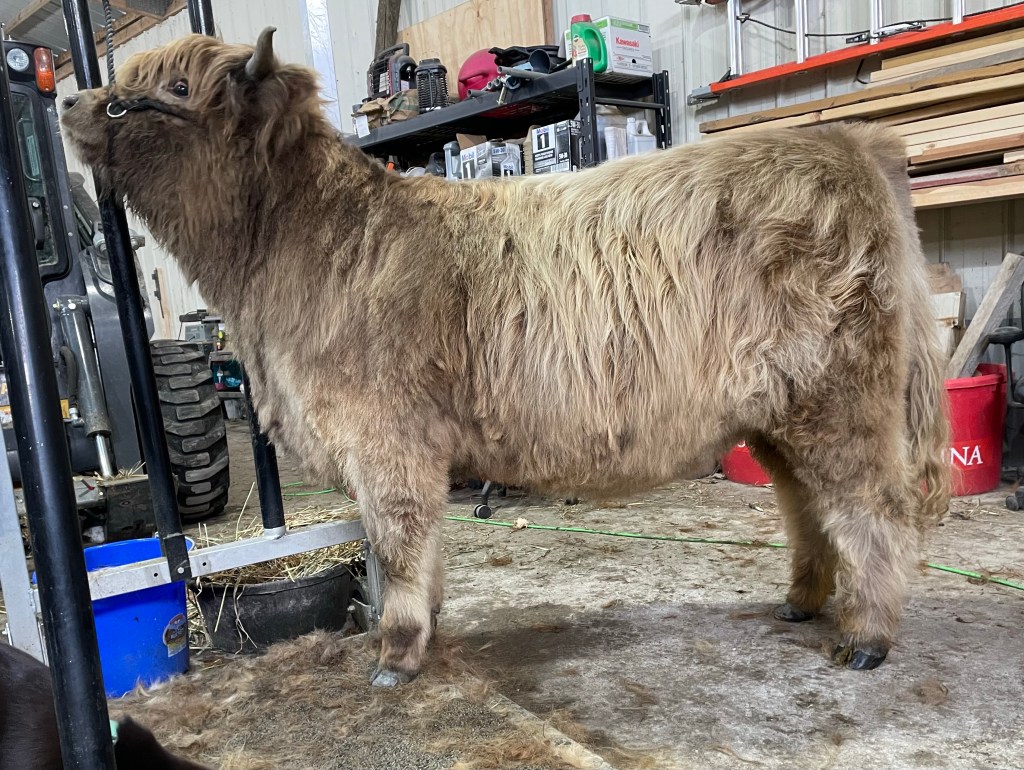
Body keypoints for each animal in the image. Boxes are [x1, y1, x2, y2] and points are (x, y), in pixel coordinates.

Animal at [60, 27, 950, 687]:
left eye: (175, 88)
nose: (70, 97)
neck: (299, 248)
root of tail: (850, 146)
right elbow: (419, 548)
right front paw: (426, 627)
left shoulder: (387, 439)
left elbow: (397, 544)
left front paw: (396, 656)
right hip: (780, 413)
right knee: (807, 507)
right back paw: (803, 601)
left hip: (841, 400)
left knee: (871, 511)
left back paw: (866, 638)